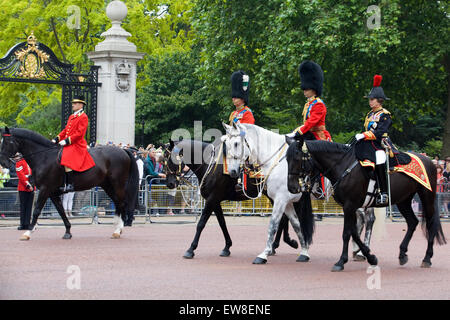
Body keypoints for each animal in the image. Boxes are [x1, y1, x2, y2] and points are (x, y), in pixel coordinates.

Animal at [0, 126, 139, 239]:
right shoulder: (52, 192)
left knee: (122, 203)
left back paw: (118, 230)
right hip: (107, 186)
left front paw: (28, 232)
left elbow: (37, 210)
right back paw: (117, 229)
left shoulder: (45, 189)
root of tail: (123, 151)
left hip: (117, 184)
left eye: (7, 142)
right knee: (118, 203)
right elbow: (61, 211)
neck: (44, 157)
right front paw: (68, 231)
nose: (3, 163)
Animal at [163, 139, 300, 258]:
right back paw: (277, 245)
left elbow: (201, 224)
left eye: (171, 159)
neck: (209, 163)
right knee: (283, 218)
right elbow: (222, 223)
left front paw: (191, 249)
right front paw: (227, 247)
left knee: (283, 218)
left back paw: (280, 244)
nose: (170, 183)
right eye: (163, 160)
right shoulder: (215, 201)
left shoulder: (211, 199)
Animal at [221, 121, 312, 264]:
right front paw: (304, 252)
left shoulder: (281, 199)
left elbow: (273, 224)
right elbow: (296, 224)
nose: (232, 171)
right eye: (227, 144)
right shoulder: (287, 202)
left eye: (236, 143)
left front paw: (263, 254)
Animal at [286, 136, 444, 272]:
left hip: (427, 196)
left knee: (430, 223)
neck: (343, 166)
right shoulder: (349, 207)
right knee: (412, 222)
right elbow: (354, 232)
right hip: (403, 200)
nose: (292, 187)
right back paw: (402, 254)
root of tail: (429, 160)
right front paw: (370, 257)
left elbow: (347, 233)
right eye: (286, 159)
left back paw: (427, 258)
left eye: (297, 158)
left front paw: (341, 261)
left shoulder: (350, 205)